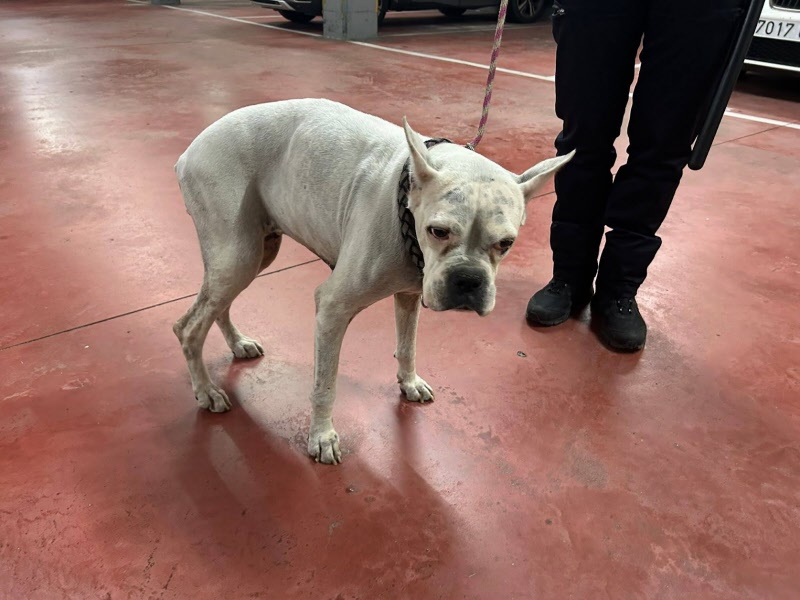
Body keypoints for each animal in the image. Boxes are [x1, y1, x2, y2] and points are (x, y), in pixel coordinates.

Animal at [173, 99, 573, 464]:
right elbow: (325, 384)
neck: (409, 201)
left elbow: (407, 346)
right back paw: (206, 390)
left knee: (216, 306)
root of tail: (189, 151)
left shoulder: (409, 295)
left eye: (506, 243)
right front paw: (322, 437)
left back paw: (237, 343)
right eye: (439, 231)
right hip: (238, 255)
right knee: (188, 327)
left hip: (252, 254)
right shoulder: (332, 307)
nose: (468, 279)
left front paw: (409, 383)